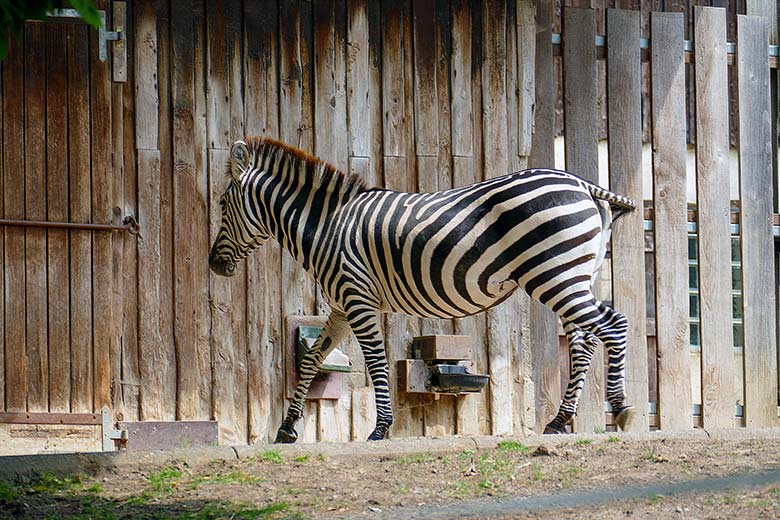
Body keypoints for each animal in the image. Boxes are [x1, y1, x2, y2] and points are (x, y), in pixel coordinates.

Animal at [210, 136, 636, 440]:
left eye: (223, 203)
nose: (213, 263)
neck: (328, 229)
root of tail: (582, 183)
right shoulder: (341, 307)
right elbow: (313, 359)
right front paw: (287, 427)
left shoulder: (358, 299)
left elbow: (376, 362)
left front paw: (381, 428)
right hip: (570, 275)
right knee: (585, 341)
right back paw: (560, 421)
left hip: (553, 275)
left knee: (614, 326)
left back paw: (620, 407)